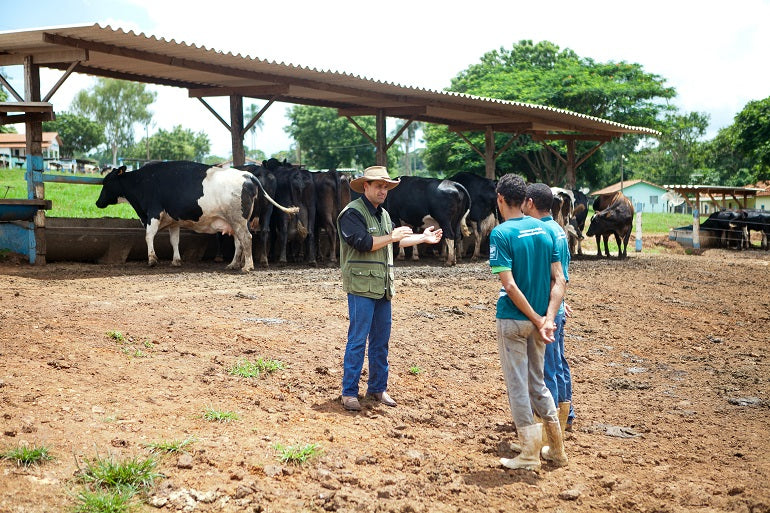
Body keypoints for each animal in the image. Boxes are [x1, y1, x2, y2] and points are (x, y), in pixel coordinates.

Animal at [95, 161, 296, 272]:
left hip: (238, 220)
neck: (143, 181)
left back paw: (247, 266)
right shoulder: (173, 220)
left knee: (246, 239)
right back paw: (233, 264)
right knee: (239, 242)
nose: (97, 203)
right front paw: (176, 260)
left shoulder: (153, 213)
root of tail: (247, 175)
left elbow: (148, 236)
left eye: (106, 182)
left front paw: (152, 259)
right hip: (236, 221)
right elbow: (174, 240)